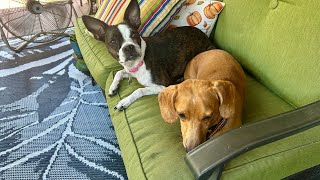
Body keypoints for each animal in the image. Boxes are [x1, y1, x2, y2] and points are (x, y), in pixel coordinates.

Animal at [82, 0, 214, 109]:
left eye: (134, 35)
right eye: (113, 42)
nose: (128, 47)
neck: (137, 64)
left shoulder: (162, 86)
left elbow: (140, 90)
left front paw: (124, 101)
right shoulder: (129, 70)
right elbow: (119, 72)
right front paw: (113, 87)